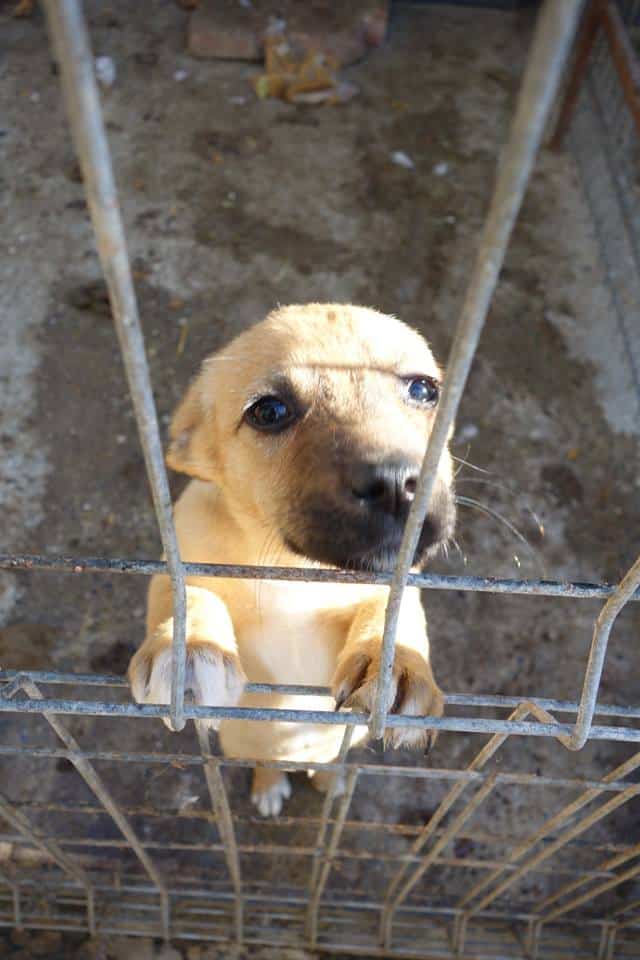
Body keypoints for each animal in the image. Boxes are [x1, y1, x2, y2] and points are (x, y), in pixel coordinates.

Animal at [128, 303, 456, 816]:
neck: (296, 570)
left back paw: (329, 779)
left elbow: (393, 615)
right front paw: (190, 649)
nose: (395, 484)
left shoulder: (395, 583)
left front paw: (399, 667)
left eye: (423, 390)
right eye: (269, 411)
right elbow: (186, 596)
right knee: (268, 761)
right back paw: (269, 785)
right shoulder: (178, 562)